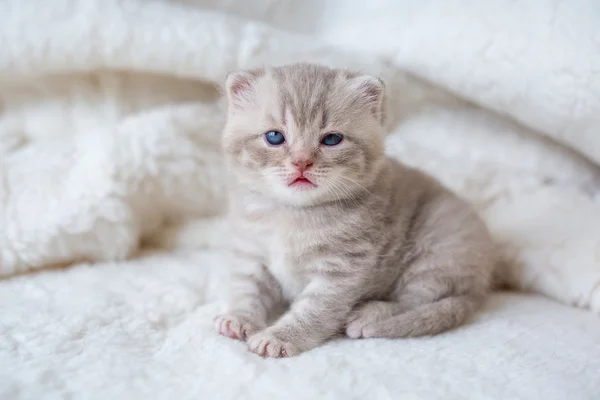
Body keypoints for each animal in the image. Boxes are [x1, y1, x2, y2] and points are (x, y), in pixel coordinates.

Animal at [213, 64, 494, 358]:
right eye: (275, 137)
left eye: (332, 139)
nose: (301, 162)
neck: (294, 214)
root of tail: (480, 286)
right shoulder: (252, 253)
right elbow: (246, 289)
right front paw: (239, 318)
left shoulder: (340, 271)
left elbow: (312, 311)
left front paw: (279, 336)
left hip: (436, 248)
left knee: (417, 300)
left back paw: (370, 314)